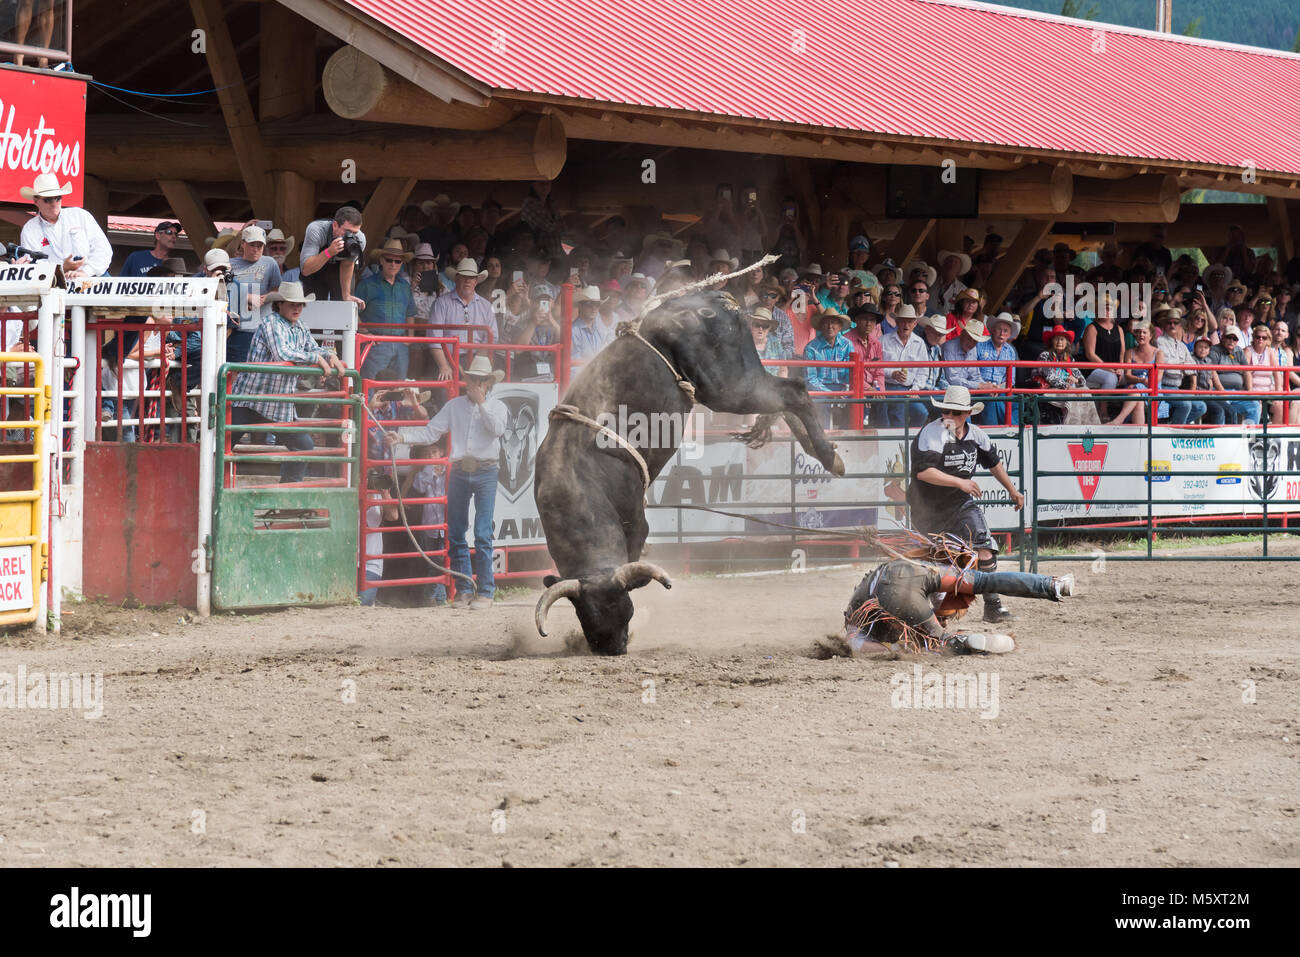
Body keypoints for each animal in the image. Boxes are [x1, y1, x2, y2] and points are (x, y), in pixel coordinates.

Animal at [533, 287, 847, 655]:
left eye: (624, 609)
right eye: (587, 617)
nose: (613, 647)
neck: (577, 480)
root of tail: (712, 299)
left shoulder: (636, 520)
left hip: (730, 386)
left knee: (793, 391)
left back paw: (827, 456)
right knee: (785, 398)